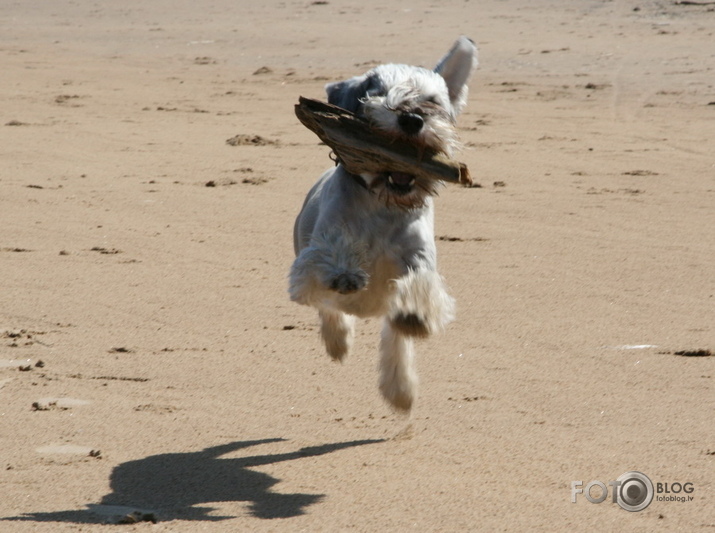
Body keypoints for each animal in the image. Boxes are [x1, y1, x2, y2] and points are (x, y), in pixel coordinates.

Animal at [288, 37, 478, 412]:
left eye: (432, 100)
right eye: (378, 93)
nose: (412, 118)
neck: (383, 201)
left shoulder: (417, 256)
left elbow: (418, 286)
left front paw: (415, 312)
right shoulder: (318, 250)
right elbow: (330, 257)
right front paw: (346, 273)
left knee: (395, 340)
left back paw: (399, 389)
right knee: (329, 309)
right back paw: (338, 341)